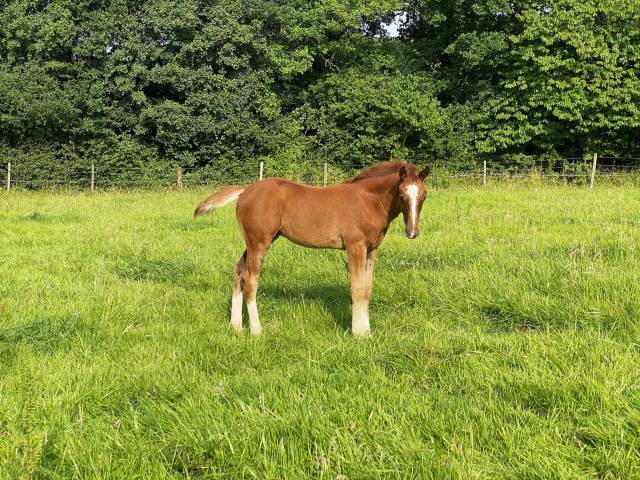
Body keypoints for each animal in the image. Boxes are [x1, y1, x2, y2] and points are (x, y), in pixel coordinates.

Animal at [194, 161, 430, 336]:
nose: (412, 232)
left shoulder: (371, 250)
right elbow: (356, 288)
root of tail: (244, 191)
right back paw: (256, 330)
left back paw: (236, 326)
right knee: (250, 279)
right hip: (258, 242)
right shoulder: (355, 246)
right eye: (401, 194)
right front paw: (358, 333)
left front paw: (367, 331)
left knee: (238, 272)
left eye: (424, 195)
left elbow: (367, 288)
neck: (368, 201)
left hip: (254, 243)